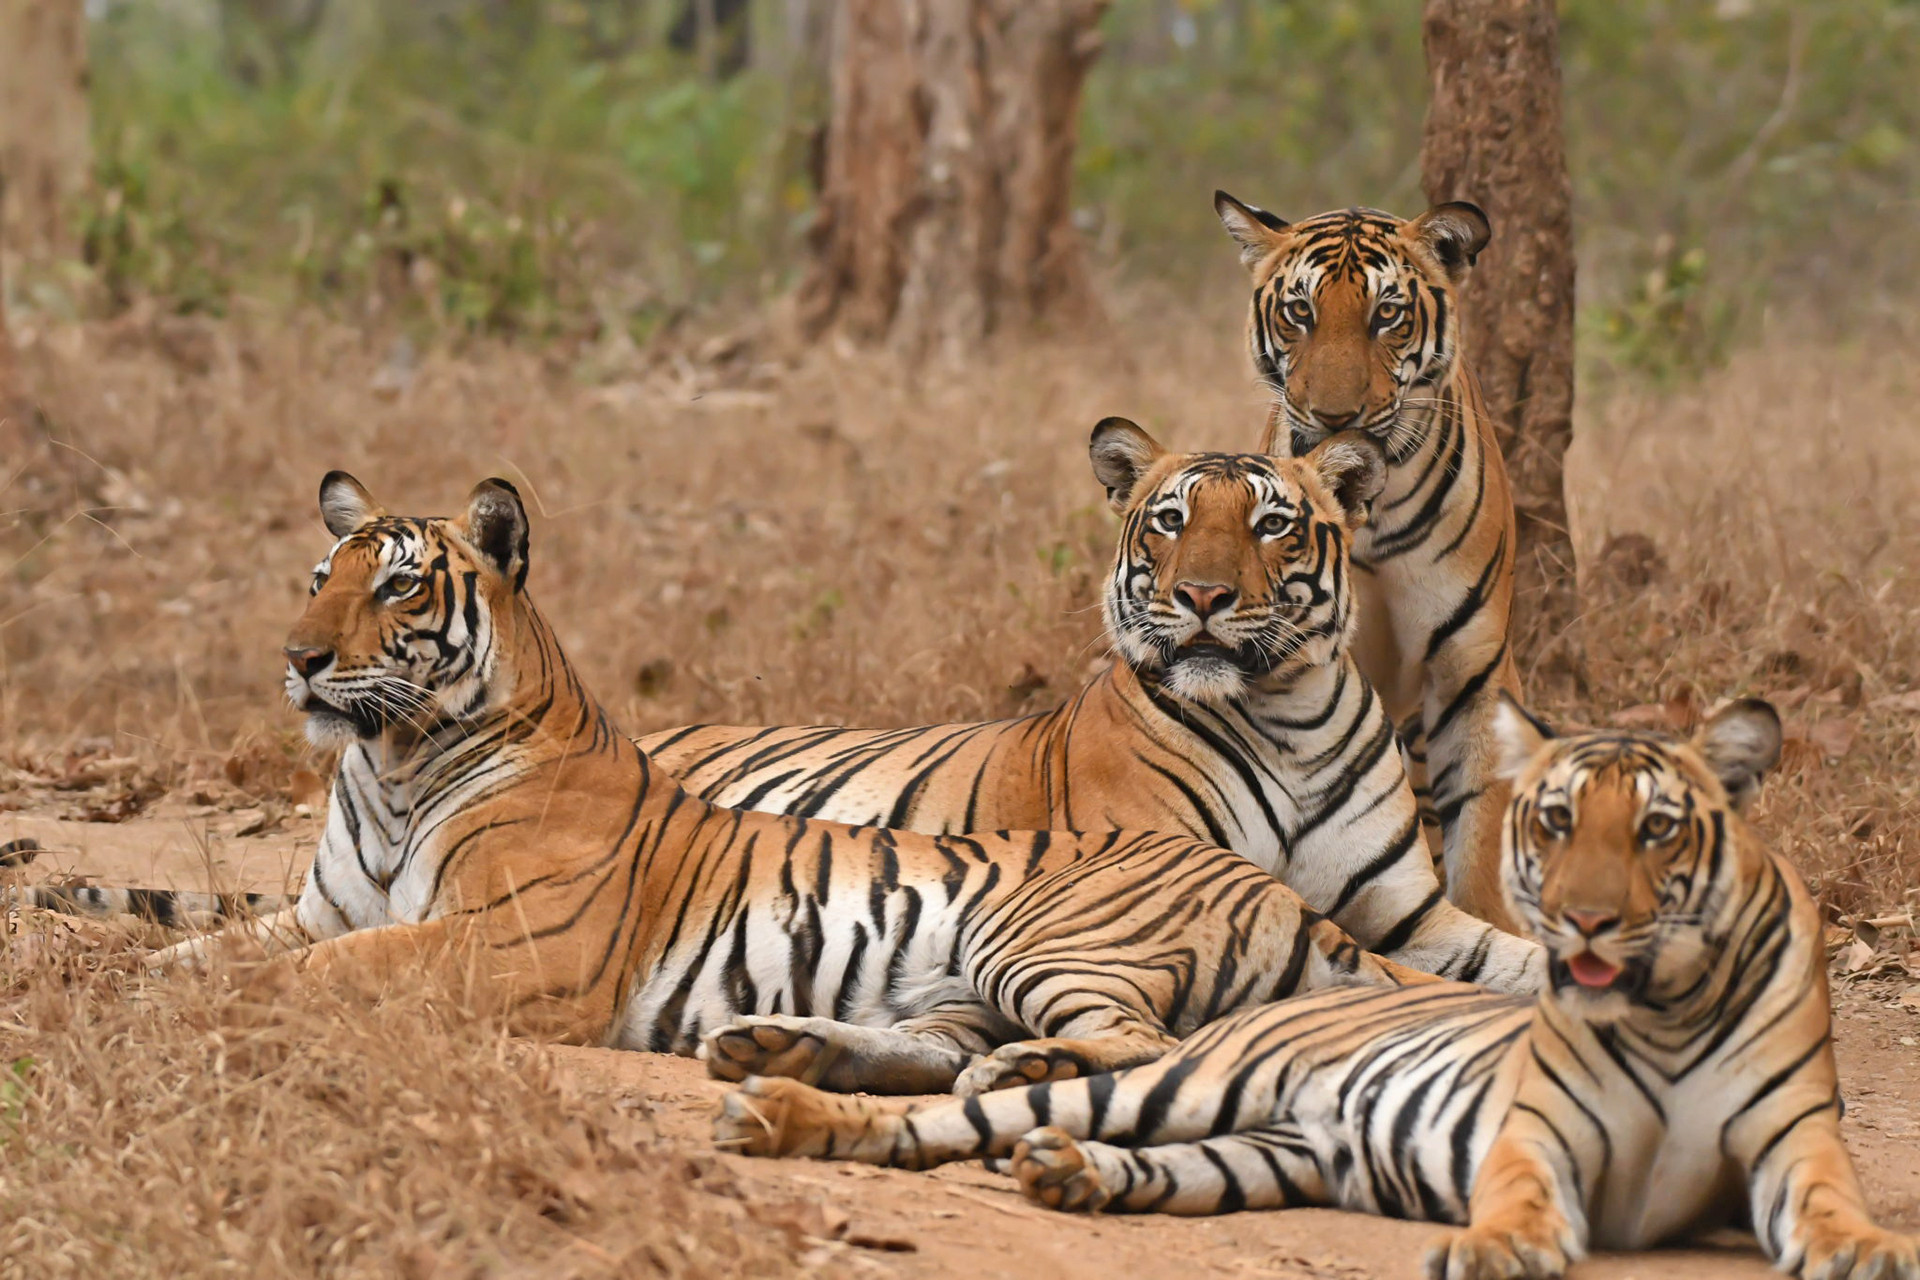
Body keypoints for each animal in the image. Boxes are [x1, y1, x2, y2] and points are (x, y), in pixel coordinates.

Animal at [96, 469, 1436, 1097]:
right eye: (319, 575)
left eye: (395, 586)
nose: (298, 657)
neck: (387, 767)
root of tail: (1285, 894)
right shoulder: (310, 907)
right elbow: (197, 947)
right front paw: (107, 977)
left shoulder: (515, 943)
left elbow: (324, 970)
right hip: (959, 982)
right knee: (942, 1047)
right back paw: (783, 1048)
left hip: (1040, 938)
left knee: (1138, 1044)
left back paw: (1009, 1076)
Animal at [641, 422, 1542, 994]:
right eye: (1172, 520)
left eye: (1271, 523)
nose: (1202, 595)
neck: (1290, 718)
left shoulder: (1413, 917)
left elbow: (1518, 957)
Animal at [716, 698, 1920, 1280]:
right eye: (1554, 820)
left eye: (1660, 828)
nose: (1584, 919)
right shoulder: (1535, 1134)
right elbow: (1522, 1195)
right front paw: (1498, 1246)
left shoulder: (1795, 1144)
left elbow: (1829, 1203)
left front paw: (1866, 1251)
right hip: (1181, 1077)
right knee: (963, 1105)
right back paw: (778, 1096)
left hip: (1262, 1145)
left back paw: (1058, 1162)